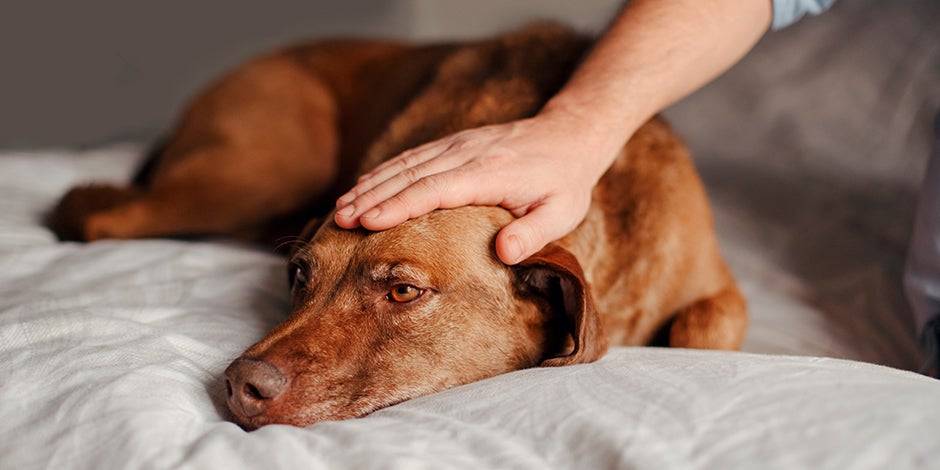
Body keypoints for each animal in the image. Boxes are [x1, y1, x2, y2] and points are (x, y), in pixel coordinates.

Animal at [51, 24, 748, 430]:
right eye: (298, 274)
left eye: (404, 291)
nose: (239, 386)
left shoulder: (718, 288)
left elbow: (704, 327)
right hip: (260, 170)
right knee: (98, 212)